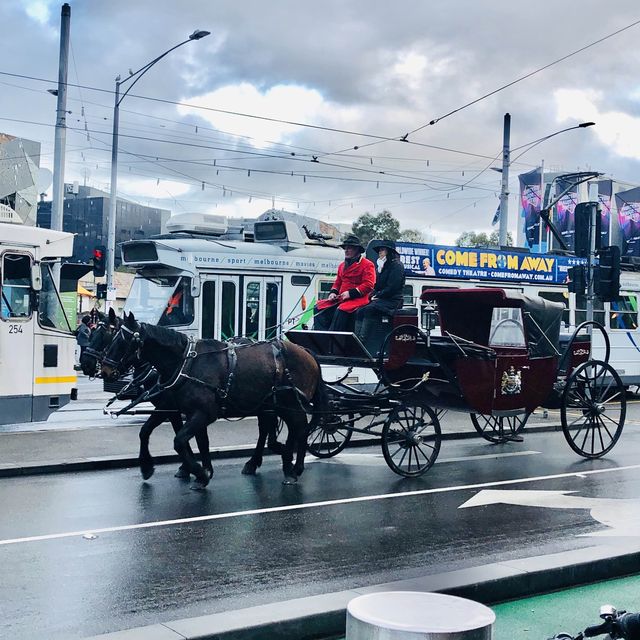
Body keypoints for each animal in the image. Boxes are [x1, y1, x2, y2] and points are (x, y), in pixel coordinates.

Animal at [102, 312, 328, 488]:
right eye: (112, 337)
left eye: (124, 341)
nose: (105, 369)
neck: (186, 363)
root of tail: (306, 352)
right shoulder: (183, 411)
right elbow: (185, 439)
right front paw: (196, 471)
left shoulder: (202, 413)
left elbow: (179, 440)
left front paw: (199, 473)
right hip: (274, 405)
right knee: (286, 429)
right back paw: (278, 462)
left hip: (290, 404)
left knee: (299, 428)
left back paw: (292, 469)